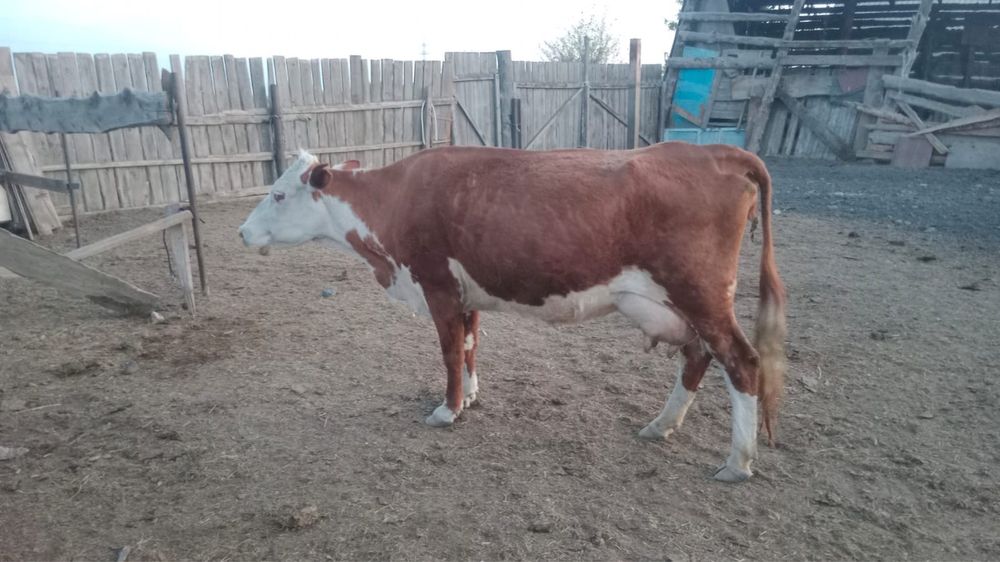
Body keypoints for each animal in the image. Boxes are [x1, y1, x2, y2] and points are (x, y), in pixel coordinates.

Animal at [238, 143, 786, 482]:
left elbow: (448, 351)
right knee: (697, 355)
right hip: (681, 304)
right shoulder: (468, 292)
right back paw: (661, 425)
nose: (242, 231)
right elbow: (470, 344)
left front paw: (447, 410)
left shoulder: (436, 284)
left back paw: (737, 462)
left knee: (741, 362)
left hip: (702, 294)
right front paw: (471, 397)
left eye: (278, 193)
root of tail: (715, 152)